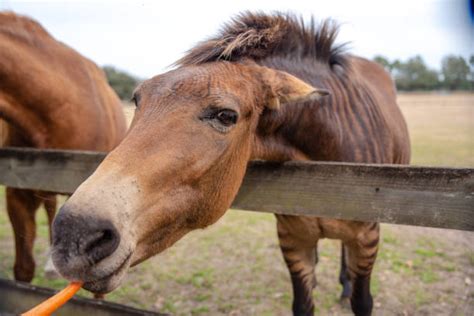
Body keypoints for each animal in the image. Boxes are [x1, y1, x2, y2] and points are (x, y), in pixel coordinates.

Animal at [50, 12, 410, 316]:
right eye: (138, 100)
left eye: (225, 116)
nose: (74, 234)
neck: (333, 176)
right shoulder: (294, 239)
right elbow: (303, 304)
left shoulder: (367, 238)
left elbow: (363, 302)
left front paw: (351, 291)